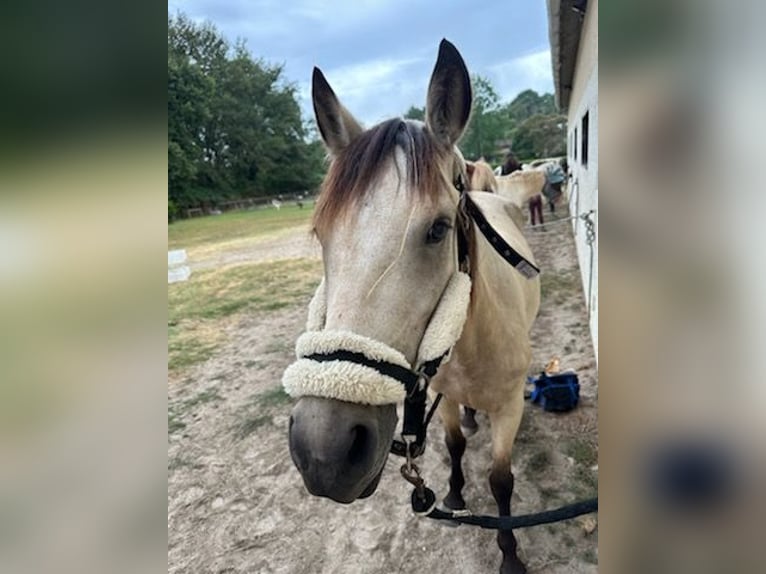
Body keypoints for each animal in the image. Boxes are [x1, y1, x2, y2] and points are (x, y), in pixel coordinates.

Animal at [284, 40, 544, 574]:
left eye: (438, 229)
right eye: (321, 233)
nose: (324, 453)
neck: (471, 351)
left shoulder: (510, 407)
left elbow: (502, 480)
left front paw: (510, 553)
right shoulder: (441, 392)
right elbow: (455, 445)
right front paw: (456, 494)